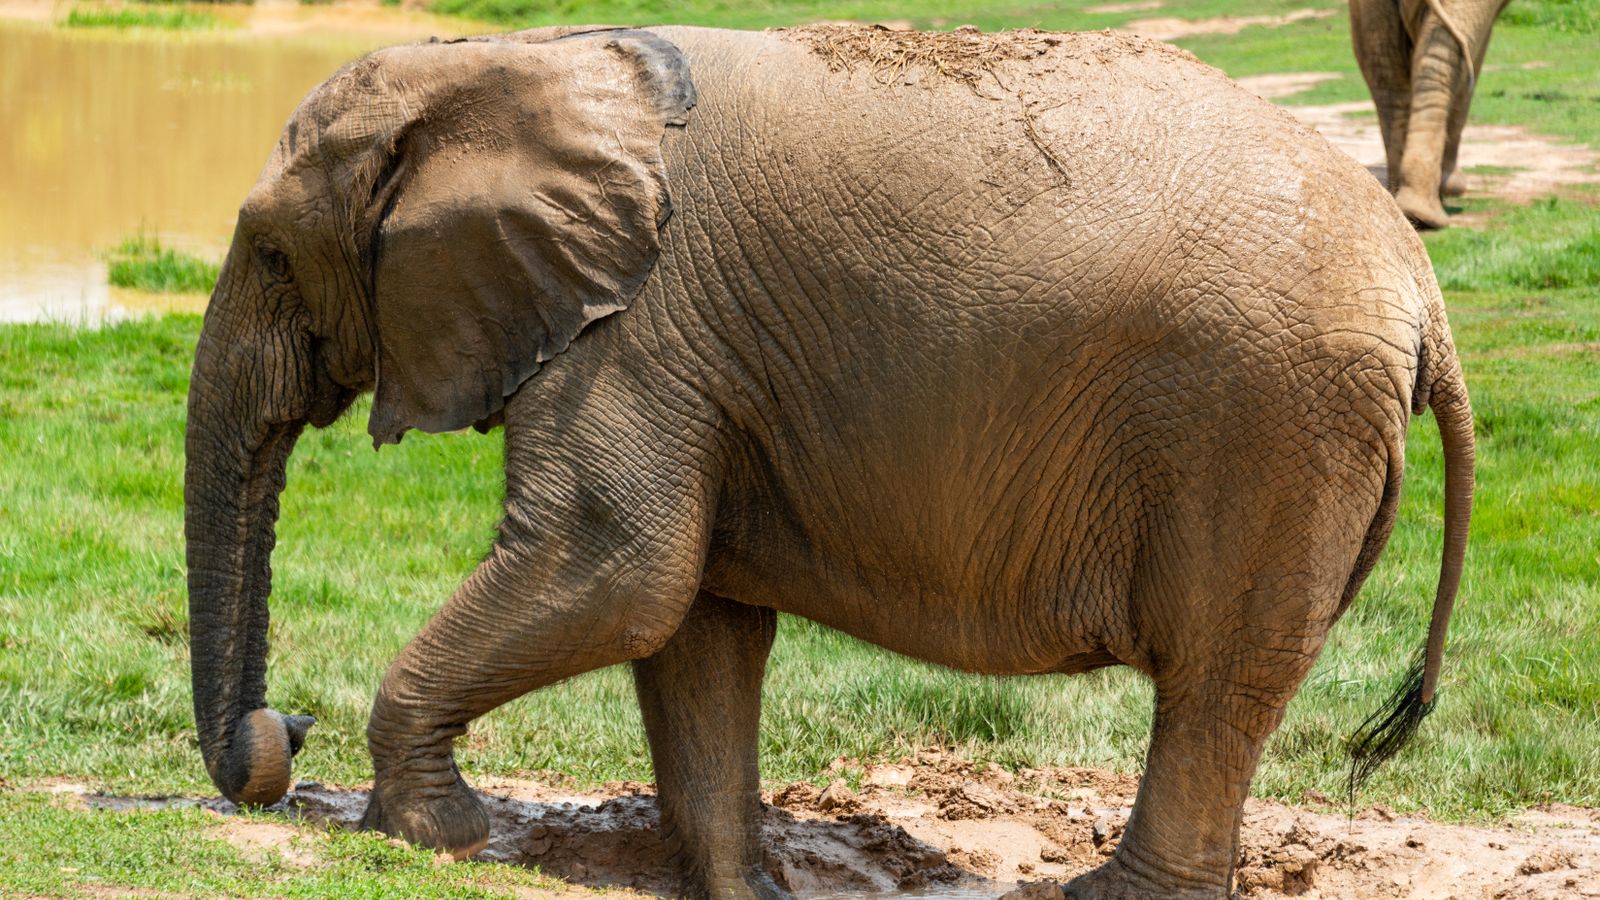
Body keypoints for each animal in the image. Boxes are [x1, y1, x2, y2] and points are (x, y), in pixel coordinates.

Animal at [184, 24, 1475, 899]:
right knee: (1230, 689)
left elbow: (616, 567)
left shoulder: (637, 329)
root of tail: (1422, 289)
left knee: (1215, 686)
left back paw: (1104, 895)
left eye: (271, 253)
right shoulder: (691, 354)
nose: (283, 730)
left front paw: (433, 838)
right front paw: (733, 890)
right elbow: (692, 622)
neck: (515, 60)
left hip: (1268, 429)